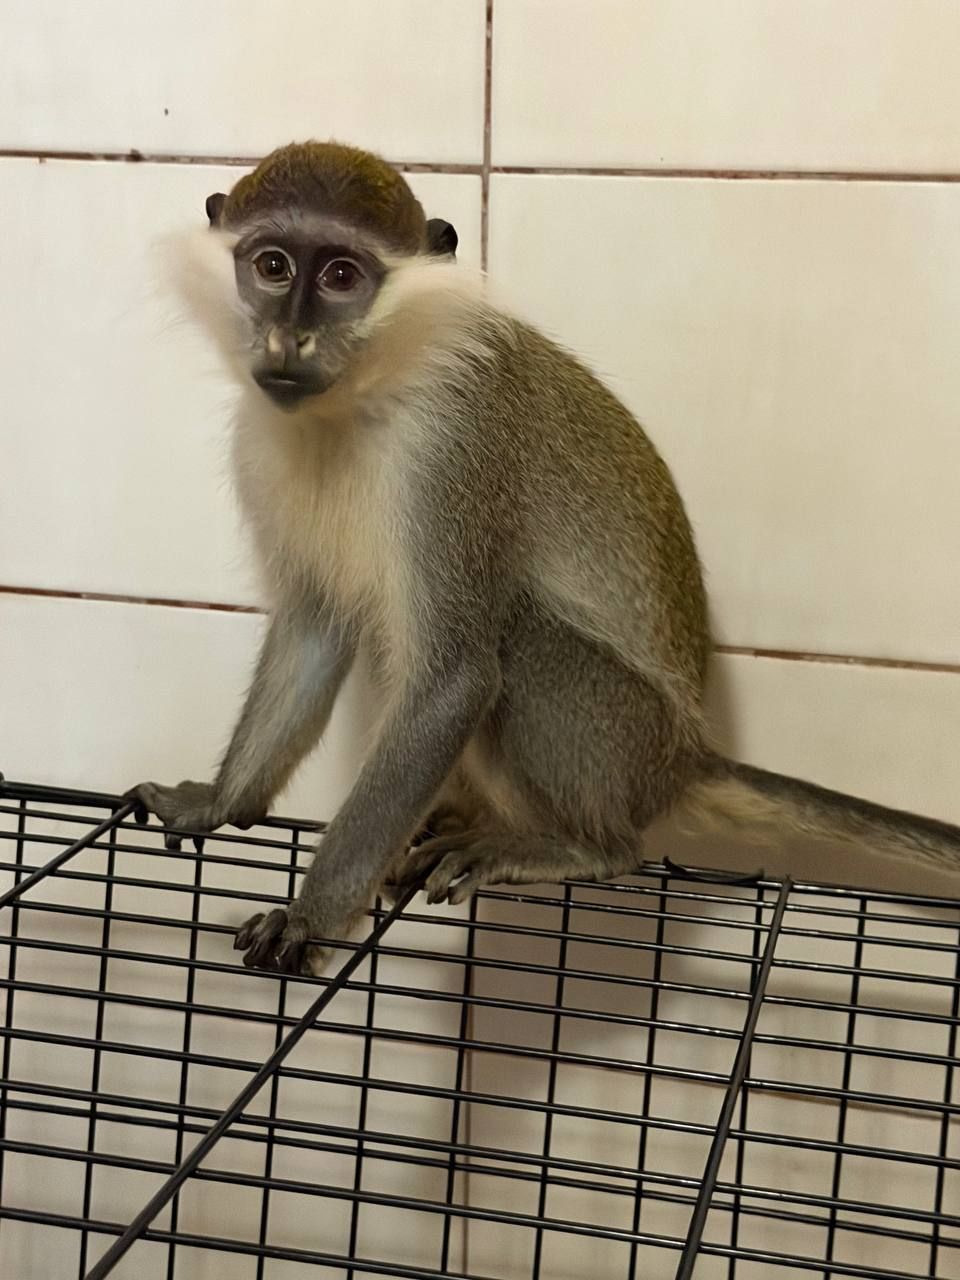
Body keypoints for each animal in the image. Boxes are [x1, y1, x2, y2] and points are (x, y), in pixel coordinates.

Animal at [130, 140, 960, 975]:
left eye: (341, 276)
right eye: (272, 265)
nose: (289, 338)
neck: (360, 398)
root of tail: (681, 761)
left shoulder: (453, 453)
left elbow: (454, 681)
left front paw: (313, 917)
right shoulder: (259, 443)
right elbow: (312, 629)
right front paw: (219, 801)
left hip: (618, 738)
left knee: (525, 644)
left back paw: (582, 846)